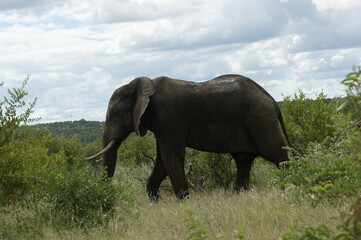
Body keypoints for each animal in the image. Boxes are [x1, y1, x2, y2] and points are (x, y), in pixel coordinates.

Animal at [86, 74, 290, 200]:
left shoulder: (169, 118)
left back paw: (292, 185)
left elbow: (171, 157)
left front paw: (185, 202)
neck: (143, 84)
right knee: (243, 160)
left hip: (261, 120)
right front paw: (157, 201)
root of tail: (272, 100)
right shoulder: (162, 125)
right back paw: (239, 196)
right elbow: (162, 160)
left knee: (278, 154)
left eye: (115, 113)